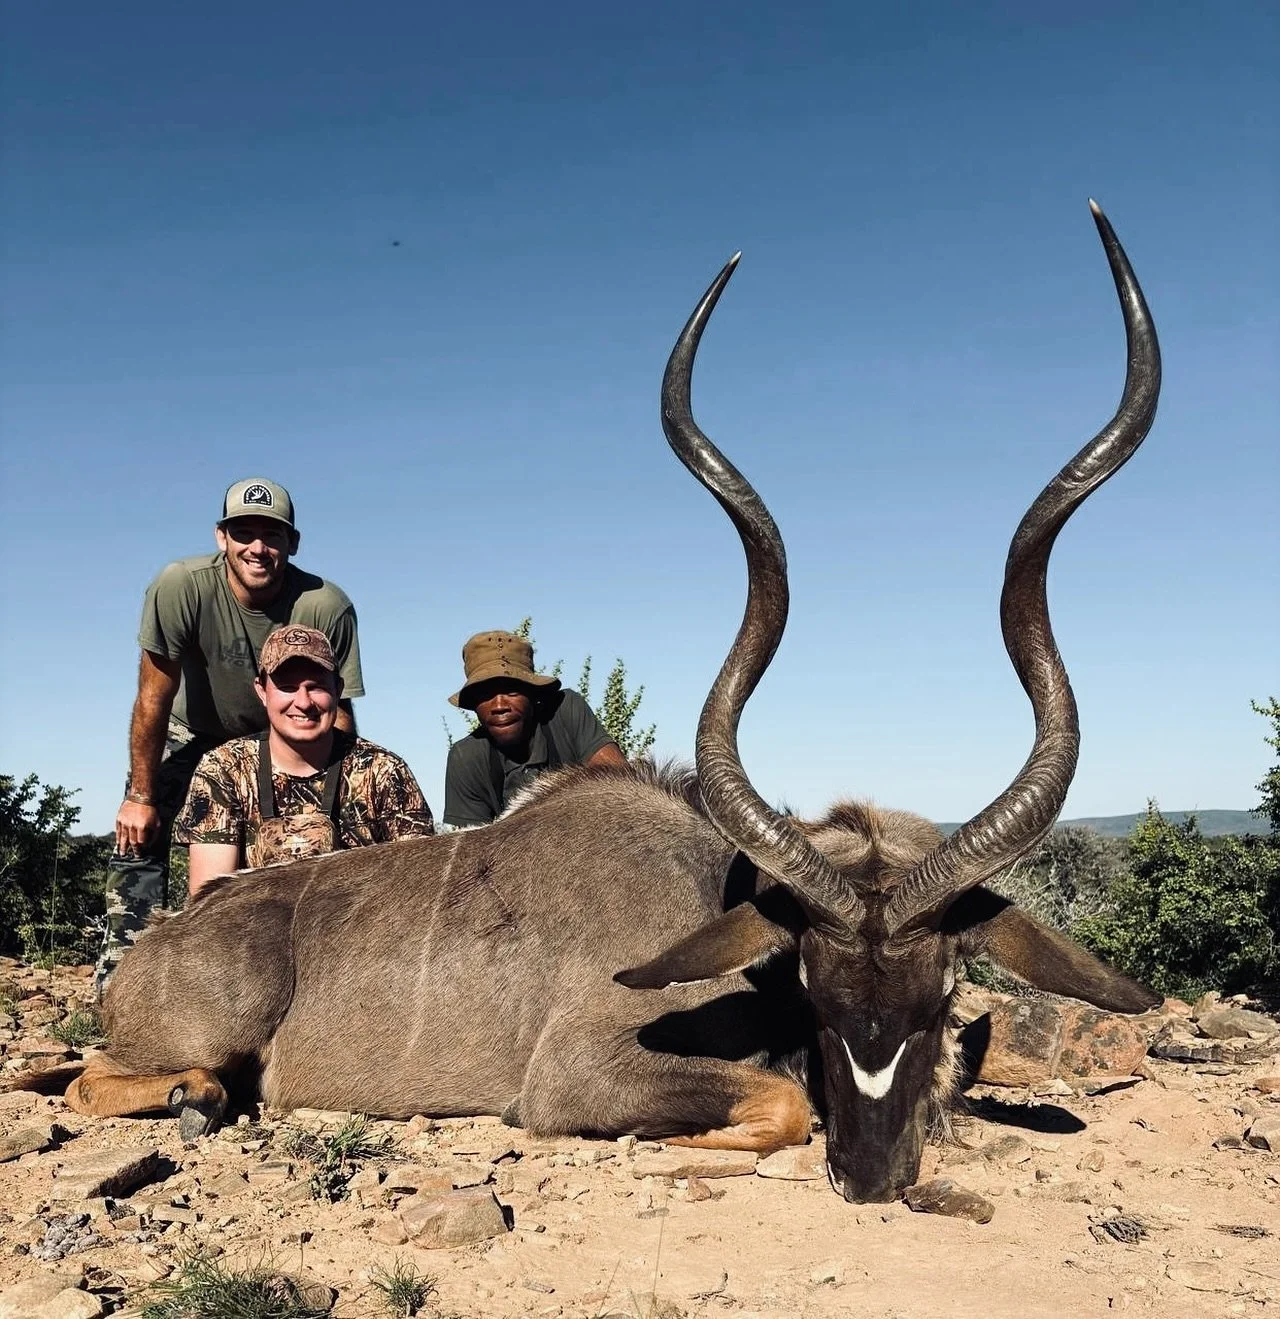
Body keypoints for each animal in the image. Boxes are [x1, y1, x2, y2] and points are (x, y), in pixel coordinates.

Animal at [24, 201, 1161, 1203]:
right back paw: (196, 1097)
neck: (708, 892)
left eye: (939, 993)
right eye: (813, 986)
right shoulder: (573, 1076)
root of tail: (148, 953)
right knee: (97, 1080)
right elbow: (781, 1104)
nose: (873, 1177)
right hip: (204, 1035)